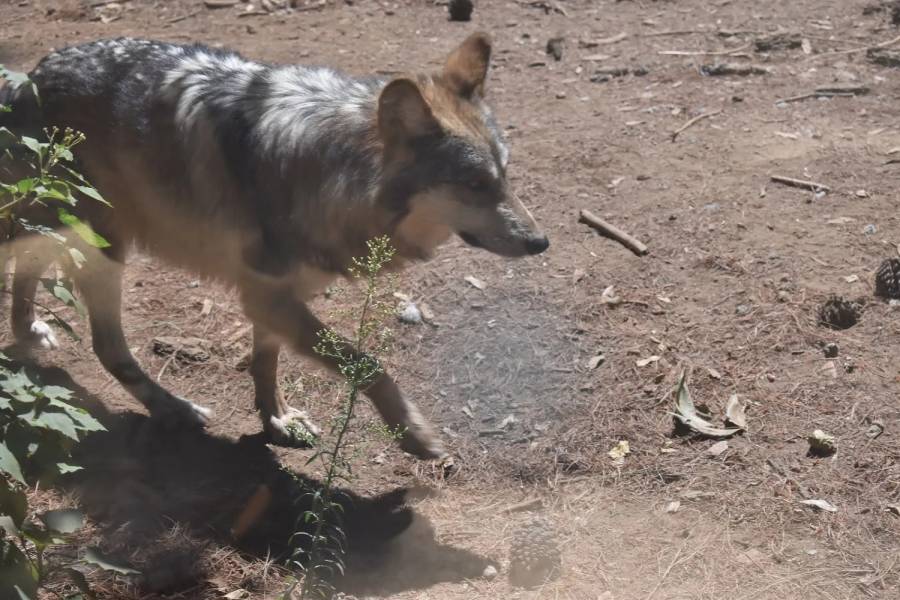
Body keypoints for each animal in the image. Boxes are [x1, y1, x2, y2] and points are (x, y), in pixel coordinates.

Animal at [0, 32, 552, 460]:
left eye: (505, 176)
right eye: (475, 185)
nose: (541, 242)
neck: (331, 169)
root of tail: (32, 76)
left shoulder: (274, 296)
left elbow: (266, 363)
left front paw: (277, 421)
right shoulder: (266, 295)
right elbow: (368, 365)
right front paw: (413, 433)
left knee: (28, 267)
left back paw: (28, 331)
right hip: (104, 247)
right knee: (106, 344)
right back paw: (174, 408)